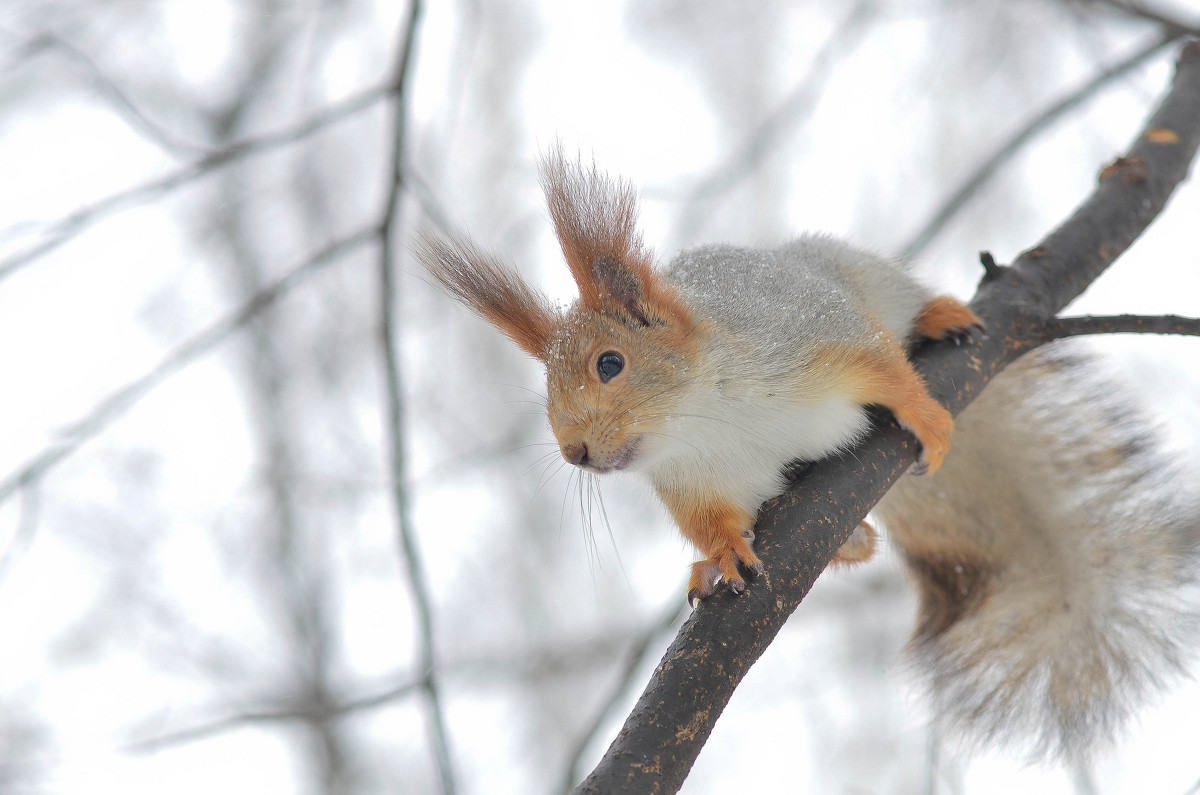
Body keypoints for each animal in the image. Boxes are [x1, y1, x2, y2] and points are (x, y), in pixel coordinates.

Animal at [415, 149, 1200, 768]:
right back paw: (851, 539)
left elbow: (884, 368)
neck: (706, 418)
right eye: (546, 389)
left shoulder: (814, 339)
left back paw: (940, 315)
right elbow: (712, 522)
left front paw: (927, 417)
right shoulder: (691, 479)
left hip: (852, 271)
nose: (574, 451)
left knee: (898, 310)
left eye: (611, 363)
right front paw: (719, 557)